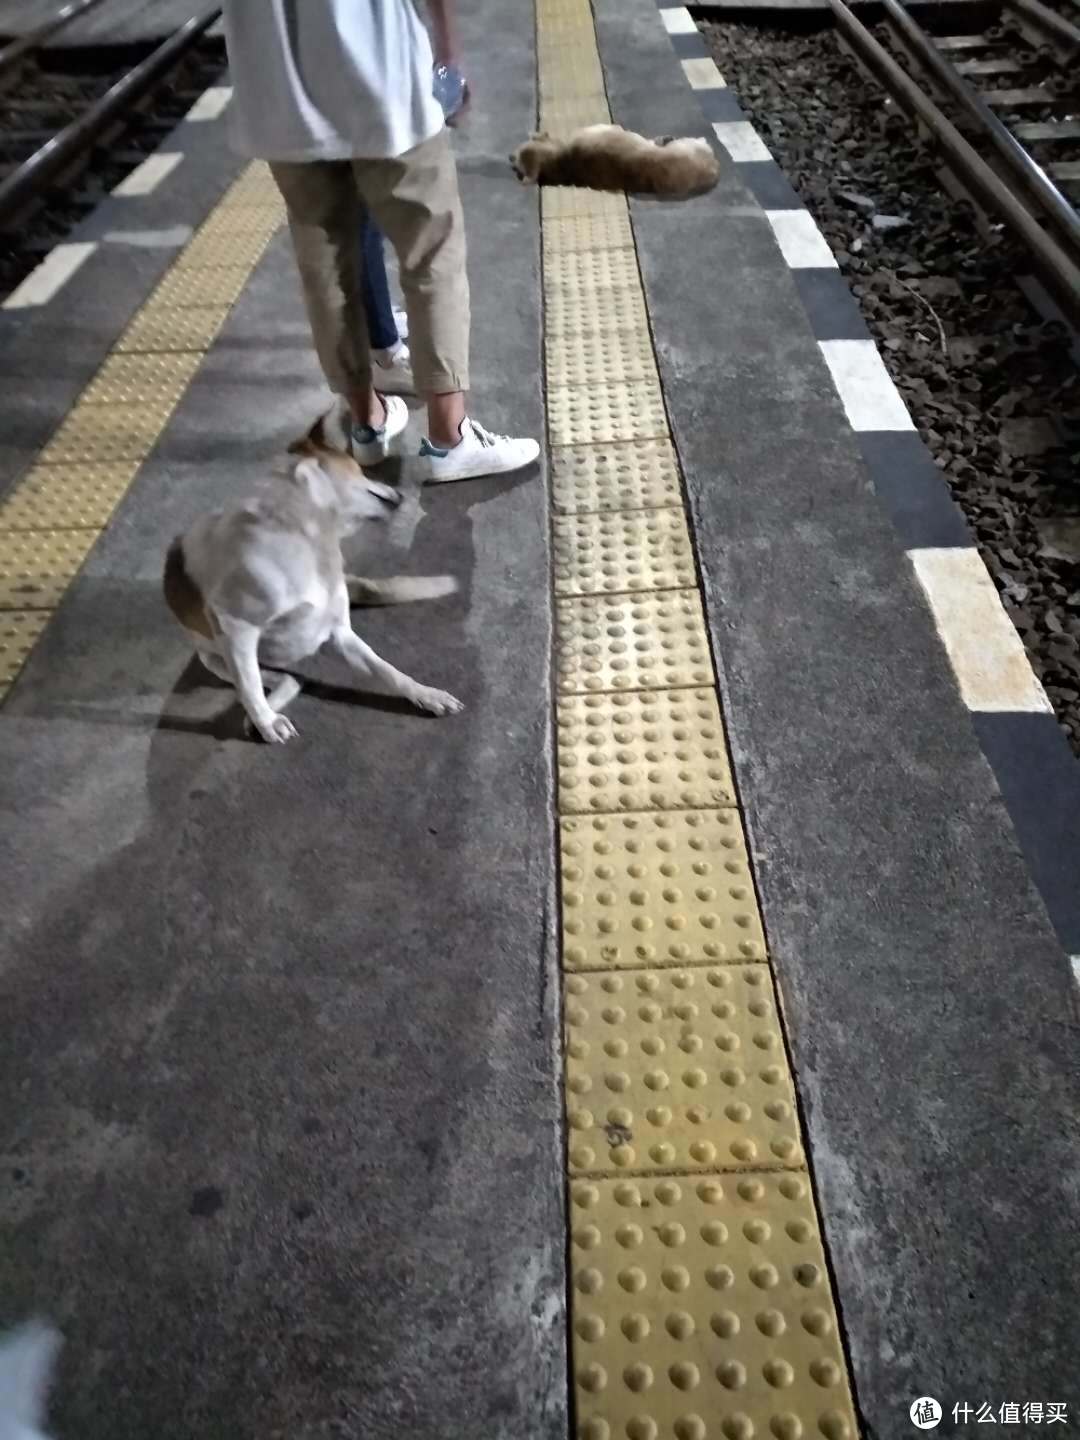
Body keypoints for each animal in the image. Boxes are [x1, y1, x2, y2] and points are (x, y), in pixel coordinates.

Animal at [164, 408, 460, 737]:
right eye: (360, 469)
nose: (400, 493)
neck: (307, 530)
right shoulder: (235, 628)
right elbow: (250, 687)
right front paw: (267, 723)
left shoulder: (341, 632)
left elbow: (388, 671)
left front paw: (426, 695)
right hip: (214, 658)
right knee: (273, 680)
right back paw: (263, 715)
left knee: (291, 679)